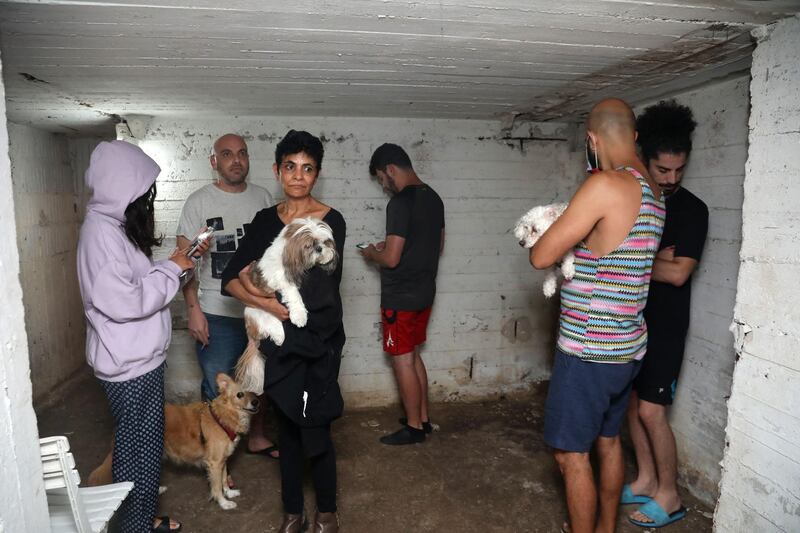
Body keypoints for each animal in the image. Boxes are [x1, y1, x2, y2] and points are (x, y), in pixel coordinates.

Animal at [90, 372, 260, 510]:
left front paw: (229, 493)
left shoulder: (222, 460)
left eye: (253, 391)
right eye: (239, 394)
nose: (256, 402)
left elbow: (224, 479)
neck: (222, 417)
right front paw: (224, 503)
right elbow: (217, 486)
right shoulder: (214, 463)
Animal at [236, 217, 340, 394]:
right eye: (309, 245)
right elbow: (293, 294)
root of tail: (250, 332)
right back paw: (279, 336)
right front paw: (299, 316)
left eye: (325, 242)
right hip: (257, 312)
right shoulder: (281, 280)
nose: (320, 248)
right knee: (270, 326)